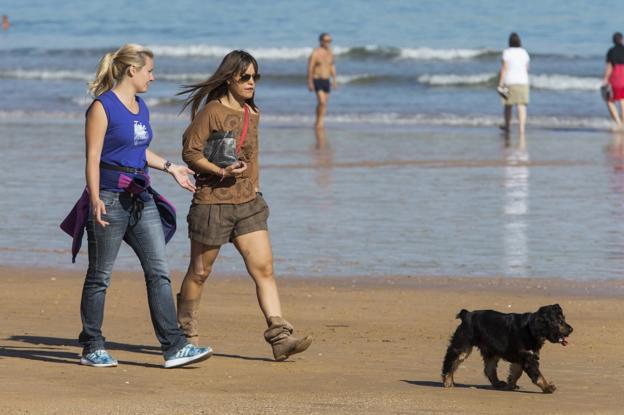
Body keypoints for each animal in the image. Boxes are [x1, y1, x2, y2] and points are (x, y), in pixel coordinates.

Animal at [442, 306, 572, 394]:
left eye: (564, 319)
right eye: (559, 321)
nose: (571, 329)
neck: (531, 328)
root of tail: (467, 315)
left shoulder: (522, 357)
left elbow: (516, 372)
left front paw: (511, 385)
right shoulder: (528, 358)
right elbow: (537, 375)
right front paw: (548, 387)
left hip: (491, 351)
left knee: (489, 369)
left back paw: (498, 384)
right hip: (463, 346)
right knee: (451, 360)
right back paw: (447, 381)